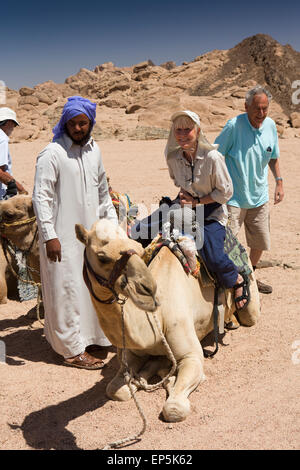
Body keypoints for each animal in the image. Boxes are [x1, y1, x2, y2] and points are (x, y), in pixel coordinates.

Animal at [75, 219, 260, 422]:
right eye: (102, 258)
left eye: (139, 251)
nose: (148, 288)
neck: (158, 317)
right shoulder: (132, 352)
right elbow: (115, 391)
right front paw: (145, 377)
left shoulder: (192, 355)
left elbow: (174, 409)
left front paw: (171, 378)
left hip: (251, 303)